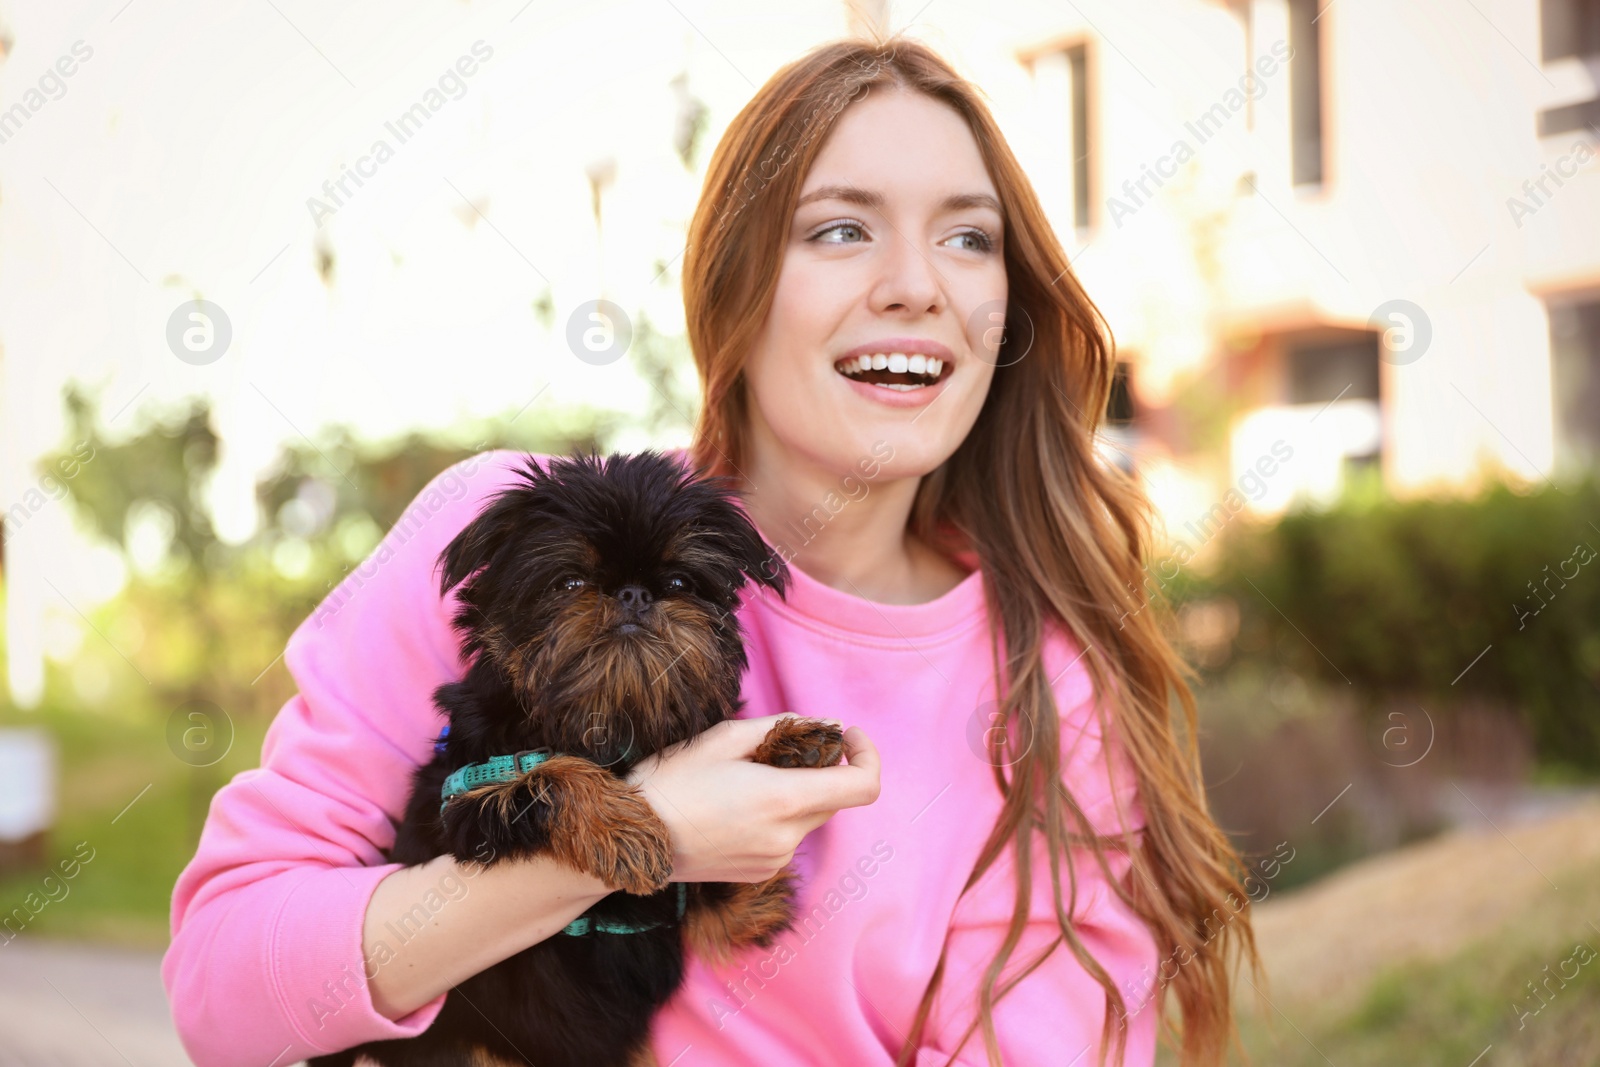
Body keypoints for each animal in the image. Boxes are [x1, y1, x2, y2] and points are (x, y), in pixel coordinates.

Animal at [304, 451, 844, 1067]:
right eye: (570, 582)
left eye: (680, 582)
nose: (634, 594)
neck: (607, 726)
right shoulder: (462, 800)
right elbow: (548, 771)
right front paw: (623, 828)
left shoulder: (732, 915)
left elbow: (746, 894)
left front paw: (787, 747)